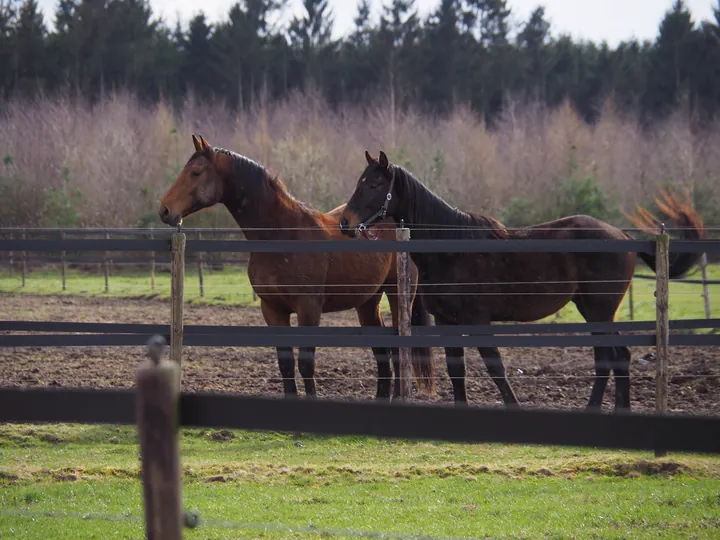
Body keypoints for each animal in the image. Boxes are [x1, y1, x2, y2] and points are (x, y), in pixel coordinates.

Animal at [158, 135, 434, 398]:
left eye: (196, 172)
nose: (165, 210)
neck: (281, 233)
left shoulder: (308, 309)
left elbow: (306, 364)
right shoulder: (272, 309)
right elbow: (286, 364)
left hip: (398, 296)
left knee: (400, 350)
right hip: (367, 302)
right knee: (382, 352)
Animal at [338, 150, 704, 412]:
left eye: (374, 185)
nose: (345, 223)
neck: (450, 247)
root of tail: (622, 235)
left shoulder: (478, 320)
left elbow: (495, 365)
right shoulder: (446, 321)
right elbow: (457, 369)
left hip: (599, 310)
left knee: (610, 356)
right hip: (594, 310)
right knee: (617, 356)